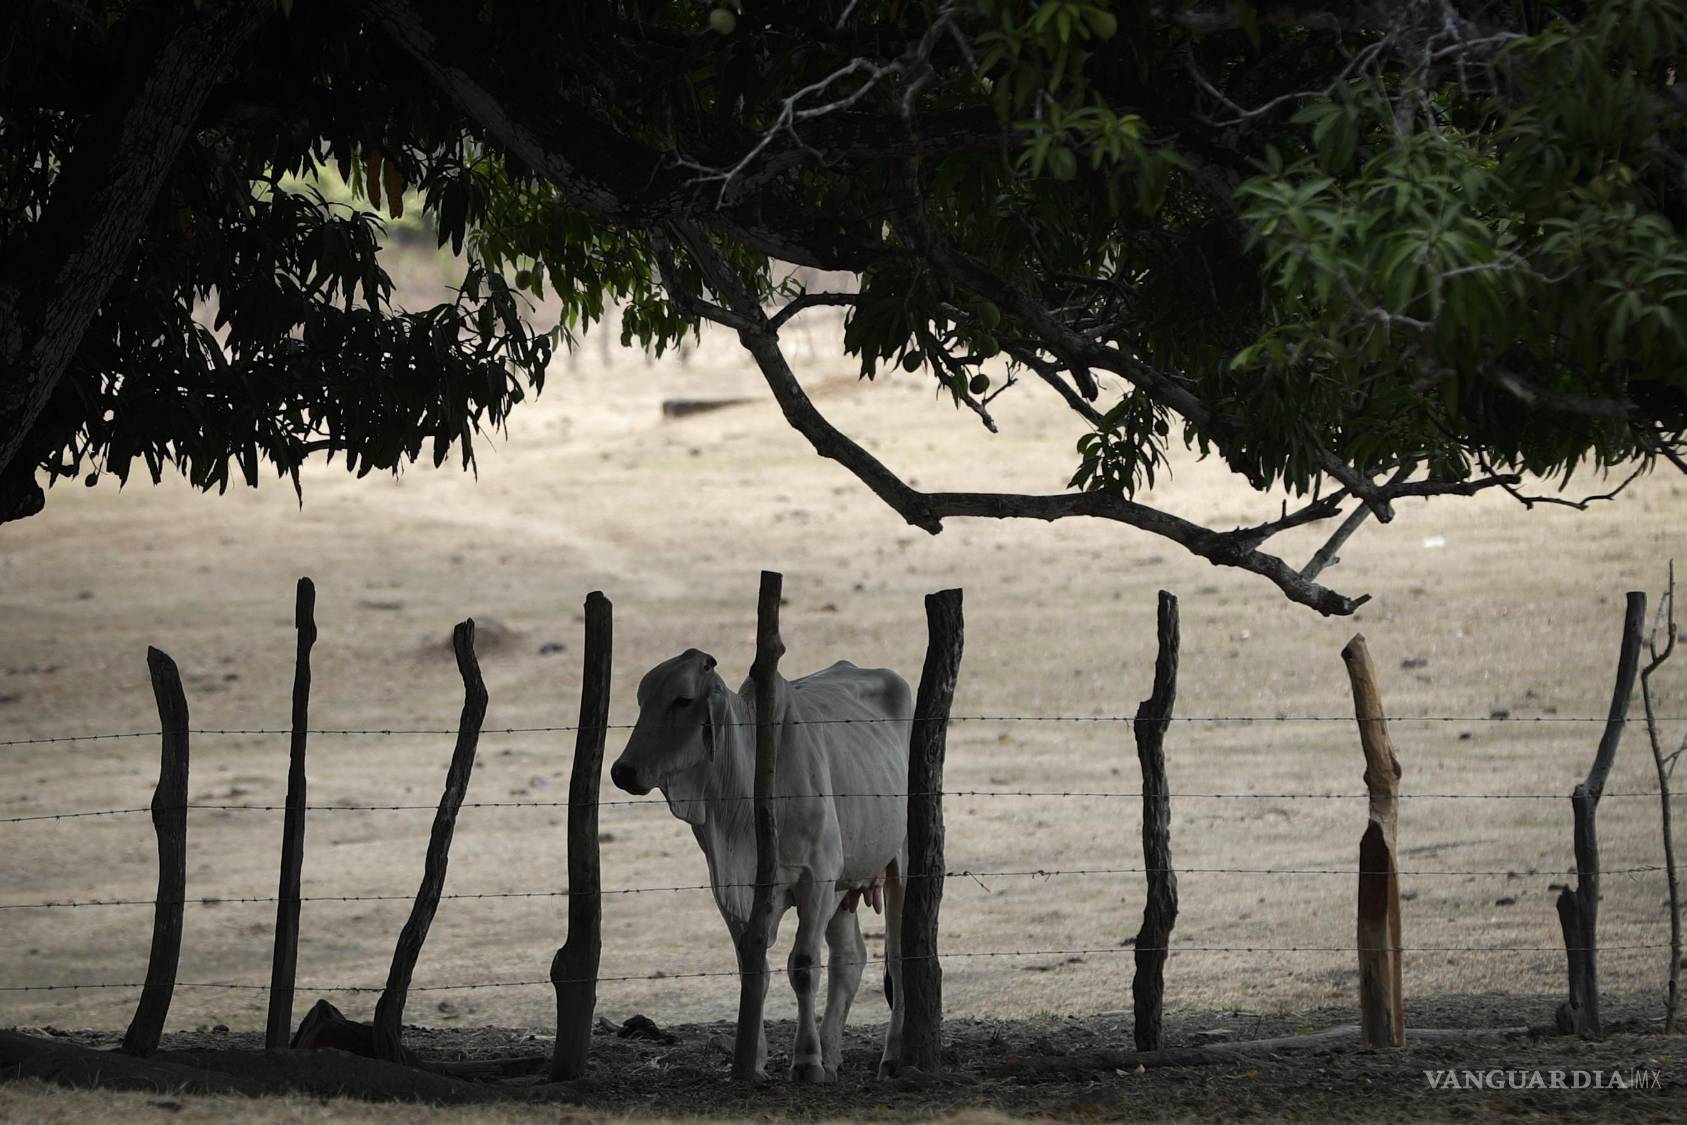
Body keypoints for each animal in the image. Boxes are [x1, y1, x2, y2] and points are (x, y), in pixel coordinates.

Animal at [609, 648, 912, 1083]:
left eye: (682, 700)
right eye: (641, 699)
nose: (622, 771)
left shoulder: (816, 880)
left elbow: (802, 966)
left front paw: (806, 1061)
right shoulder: (732, 890)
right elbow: (755, 970)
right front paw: (751, 1059)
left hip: (899, 864)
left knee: (900, 957)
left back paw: (891, 1057)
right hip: (843, 888)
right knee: (848, 958)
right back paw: (833, 1055)